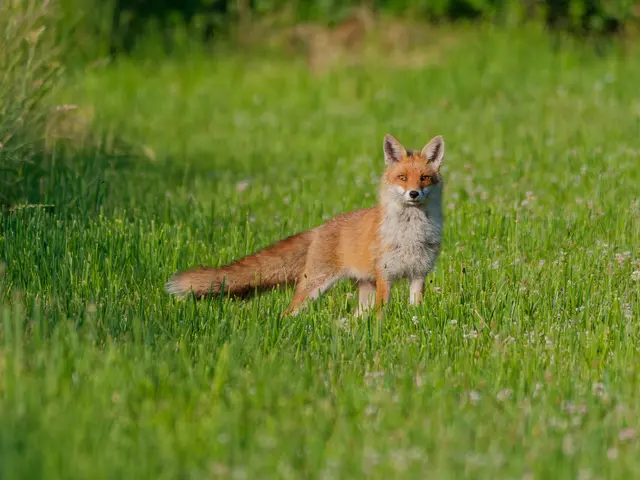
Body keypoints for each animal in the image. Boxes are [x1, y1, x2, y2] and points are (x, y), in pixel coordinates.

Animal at [165, 133, 445, 317]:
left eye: (424, 178)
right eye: (402, 177)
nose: (413, 194)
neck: (410, 234)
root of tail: (319, 228)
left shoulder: (419, 273)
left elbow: (415, 307)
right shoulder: (384, 276)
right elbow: (381, 312)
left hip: (363, 285)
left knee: (357, 316)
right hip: (315, 286)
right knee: (289, 311)